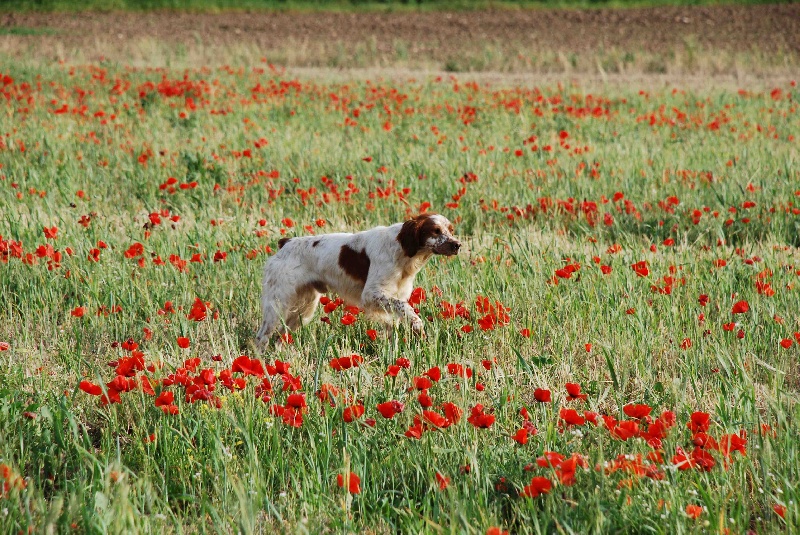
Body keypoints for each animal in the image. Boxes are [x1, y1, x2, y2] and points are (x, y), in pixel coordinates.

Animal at [258, 214, 462, 344]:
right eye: (436, 231)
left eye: (451, 230)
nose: (457, 245)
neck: (402, 249)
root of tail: (286, 243)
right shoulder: (372, 294)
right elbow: (406, 307)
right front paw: (417, 324)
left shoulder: (395, 296)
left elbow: (394, 323)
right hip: (277, 305)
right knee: (262, 337)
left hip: (304, 309)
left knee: (281, 337)